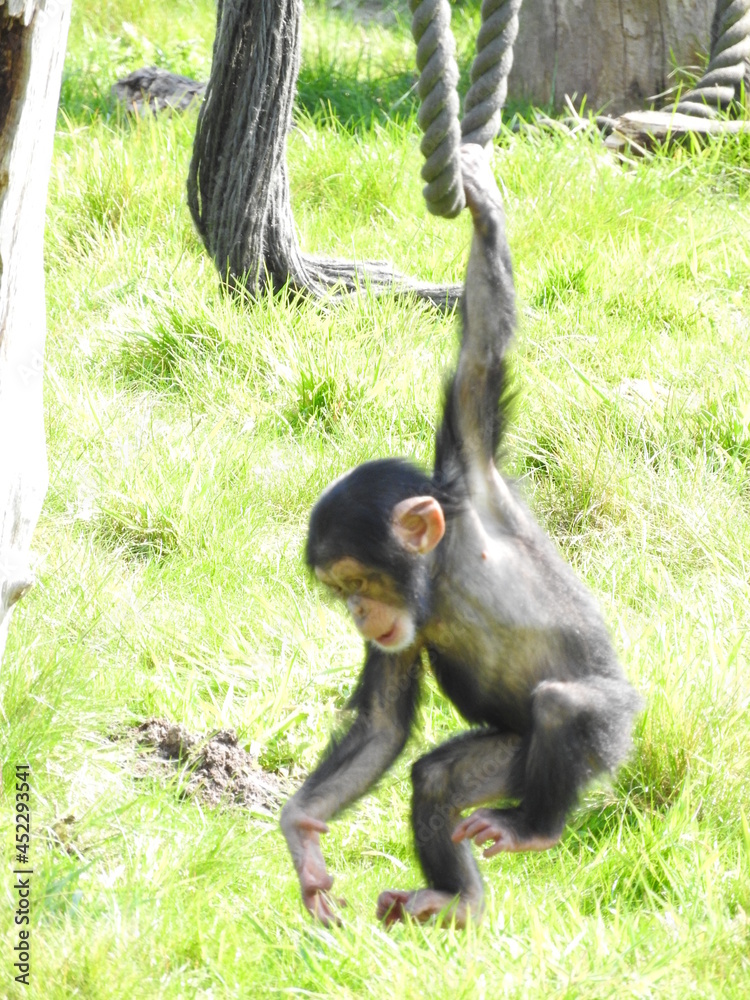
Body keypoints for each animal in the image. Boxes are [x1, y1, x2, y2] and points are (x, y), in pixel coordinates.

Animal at [280, 144, 640, 929]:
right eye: (340, 593)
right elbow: (382, 724)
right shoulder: (401, 632)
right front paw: (302, 836)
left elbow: (482, 348)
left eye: (358, 581)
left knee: (566, 706)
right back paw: (455, 898)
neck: (441, 572)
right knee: (438, 779)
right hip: (506, 752)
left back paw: (532, 830)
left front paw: (484, 207)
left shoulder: (472, 459)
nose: (359, 611)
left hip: (603, 738)